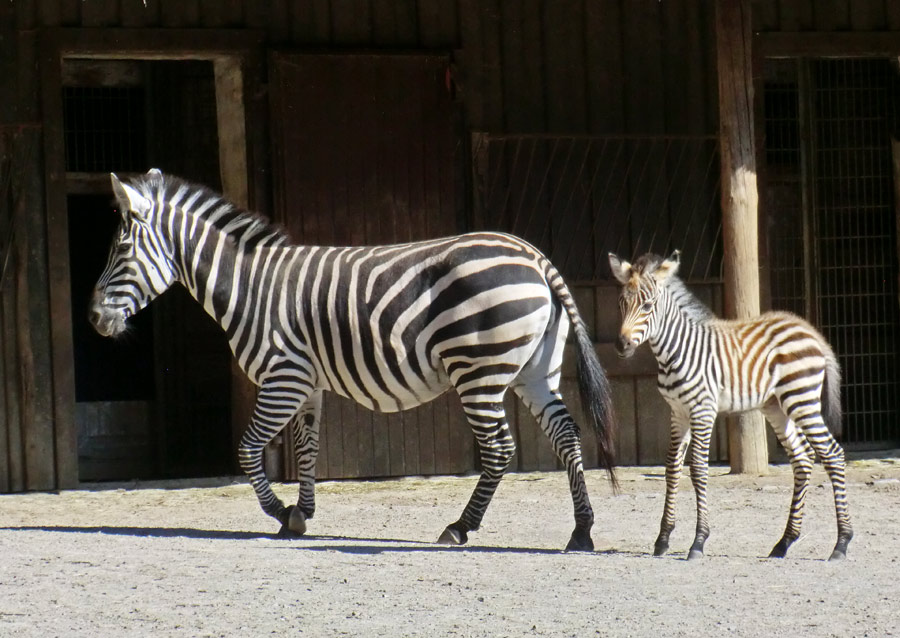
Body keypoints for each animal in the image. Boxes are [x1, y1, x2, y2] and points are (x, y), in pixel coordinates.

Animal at [89, 171, 620, 556]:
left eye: (121, 250)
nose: (94, 319)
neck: (249, 288)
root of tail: (536, 257)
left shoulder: (283, 376)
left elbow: (248, 449)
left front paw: (280, 512)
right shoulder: (307, 383)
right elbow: (307, 449)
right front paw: (302, 513)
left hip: (479, 371)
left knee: (499, 449)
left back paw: (460, 527)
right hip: (534, 371)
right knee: (567, 436)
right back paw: (581, 532)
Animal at [604, 252, 852, 564]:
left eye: (648, 305)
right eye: (621, 303)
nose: (621, 345)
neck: (676, 351)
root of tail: (808, 330)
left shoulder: (702, 410)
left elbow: (698, 469)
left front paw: (698, 541)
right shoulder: (678, 412)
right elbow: (672, 467)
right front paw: (663, 539)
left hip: (801, 400)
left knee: (832, 454)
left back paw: (841, 543)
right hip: (776, 406)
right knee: (803, 459)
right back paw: (784, 542)